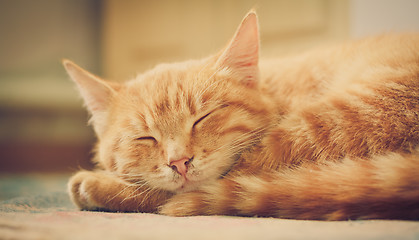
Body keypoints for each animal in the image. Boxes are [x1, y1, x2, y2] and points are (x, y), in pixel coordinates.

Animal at [63, 11, 419, 221]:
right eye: (145, 137)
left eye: (203, 118)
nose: (179, 162)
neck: (276, 91)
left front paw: (99, 183)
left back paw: (93, 185)